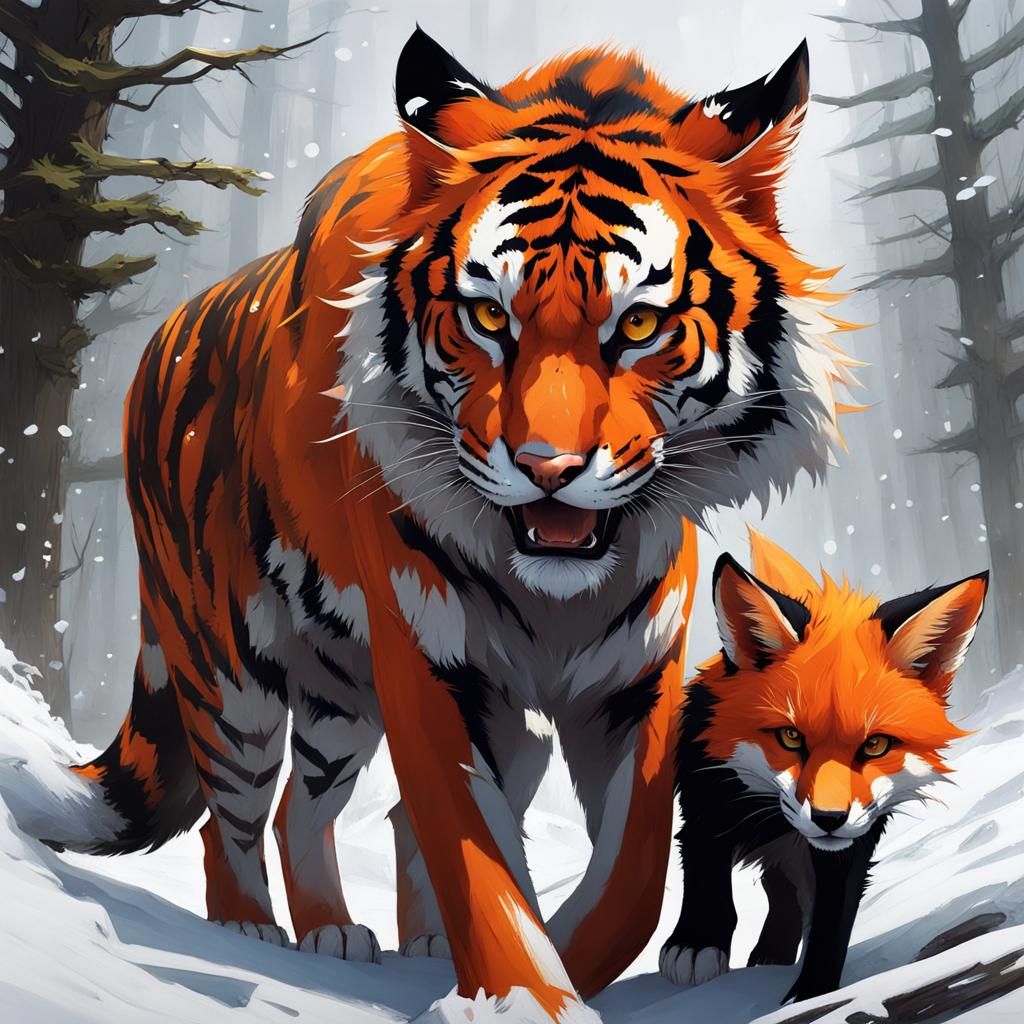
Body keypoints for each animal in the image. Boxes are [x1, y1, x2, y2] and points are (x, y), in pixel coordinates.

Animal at [24, 27, 855, 1021]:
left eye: (638, 326)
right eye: (488, 315)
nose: (547, 468)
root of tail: (165, 336)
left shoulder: (633, 680)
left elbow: (628, 878)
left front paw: (561, 966)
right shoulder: (430, 664)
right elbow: (476, 861)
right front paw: (522, 993)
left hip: (341, 694)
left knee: (310, 804)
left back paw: (349, 935)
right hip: (228, 667)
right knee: (235, 813)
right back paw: (250, 934)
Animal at [659, 528, 987, 1003]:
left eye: (875, 745)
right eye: (791, 737)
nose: (829, 819)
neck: (772, 819)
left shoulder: (854, 842)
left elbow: (832, 921)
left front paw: (813, 993)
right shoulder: (707, 796)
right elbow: (705, 863)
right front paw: (698, 941)